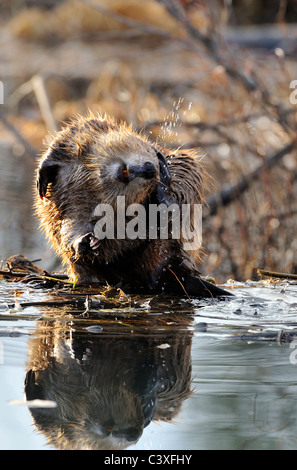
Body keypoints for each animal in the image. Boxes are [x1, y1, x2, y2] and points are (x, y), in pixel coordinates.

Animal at [35, 114, 231, 298]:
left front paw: (163, 174)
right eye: (148, 149)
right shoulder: (89, 132)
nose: (150, 168)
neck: (96, 181)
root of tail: (177, 271)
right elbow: (63, 140)